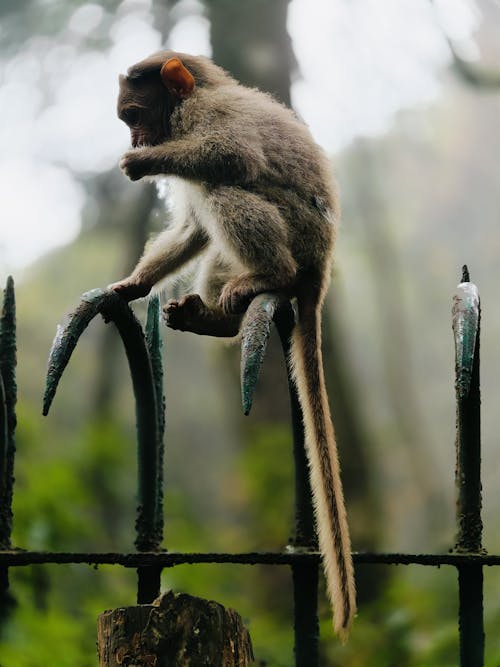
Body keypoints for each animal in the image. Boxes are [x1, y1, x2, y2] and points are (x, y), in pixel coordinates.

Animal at [111, 51, 358, 636]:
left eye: (135, 115)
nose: (135, 139)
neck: (194, 96)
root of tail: (321, 265)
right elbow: (191, 231)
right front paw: (133, 284)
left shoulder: (205, 115)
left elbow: (233, 154)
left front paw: (147, 162)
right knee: (212, 216)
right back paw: (218, 320)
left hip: (299, 236)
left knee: (224, 188)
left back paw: (271, 274)